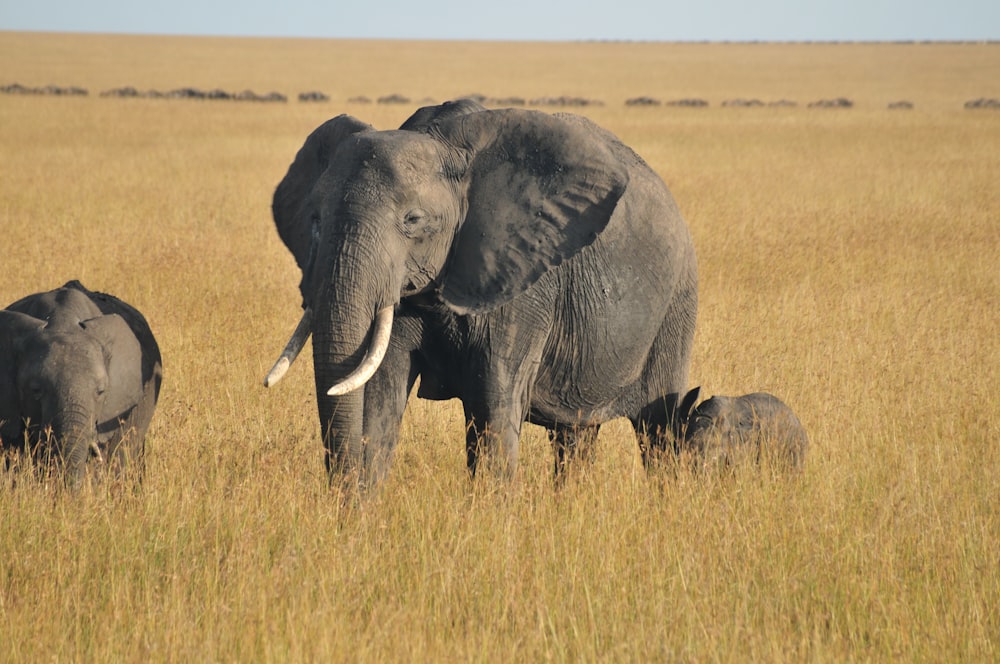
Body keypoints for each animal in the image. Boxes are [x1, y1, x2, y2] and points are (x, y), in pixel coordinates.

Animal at [268, 98, 704, 488]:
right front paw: (362, 513)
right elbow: (379, 393)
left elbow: (494, 397)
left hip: (677, 301)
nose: (342, 502)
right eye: (315, 220)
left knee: (658, 427)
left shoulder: (524, 285)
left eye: (413, 220)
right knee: (576, 434)